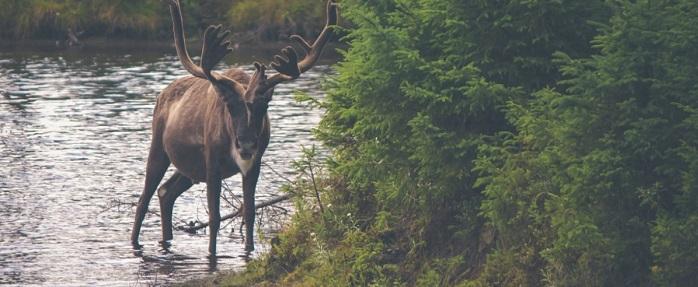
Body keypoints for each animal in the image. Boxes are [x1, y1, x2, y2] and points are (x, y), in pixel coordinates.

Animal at [130, 0, 338, 256]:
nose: (246, 144)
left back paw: (167, 239)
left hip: (190, 168)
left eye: (264, 104)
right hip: (159, 147)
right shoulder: (212, 162)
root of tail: (162, 93)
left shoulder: (254, 163)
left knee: (166, 192)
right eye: (229, 105)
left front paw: (249, 251)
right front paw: (212, 254)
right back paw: (135, 242)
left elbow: (249, 211)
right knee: (144, 199)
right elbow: (215, 217)